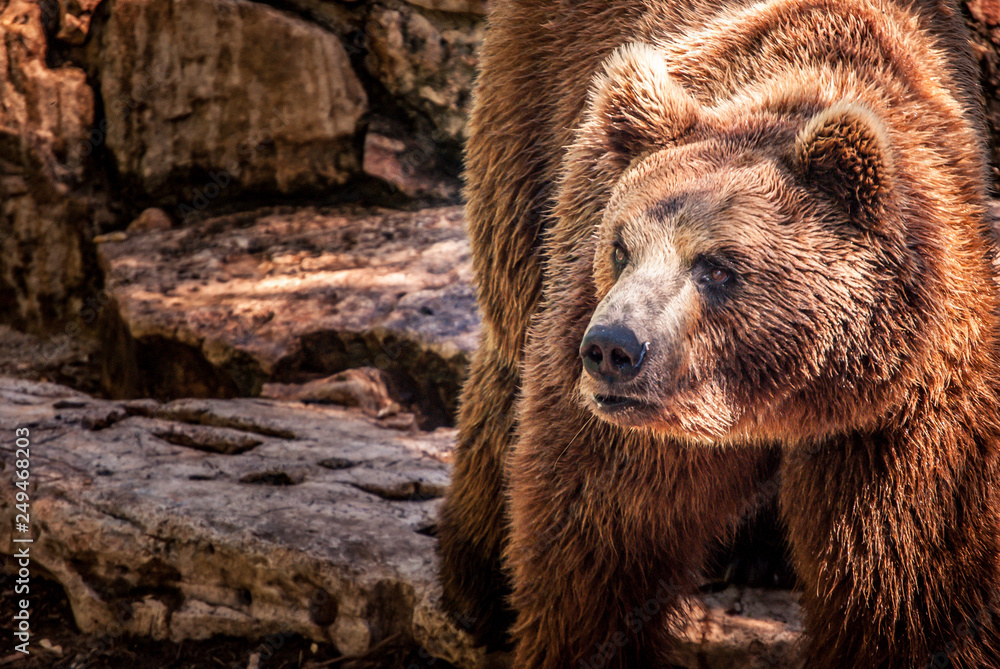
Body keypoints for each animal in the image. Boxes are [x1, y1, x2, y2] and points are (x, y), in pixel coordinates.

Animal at [437, 0, 1000, 667]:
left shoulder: (903, 405)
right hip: (531, 126)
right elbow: (603, 526)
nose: (612, 348)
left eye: (717, 267)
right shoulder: (633, 404)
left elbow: (910, 566)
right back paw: (477, 590)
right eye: (620, 248)